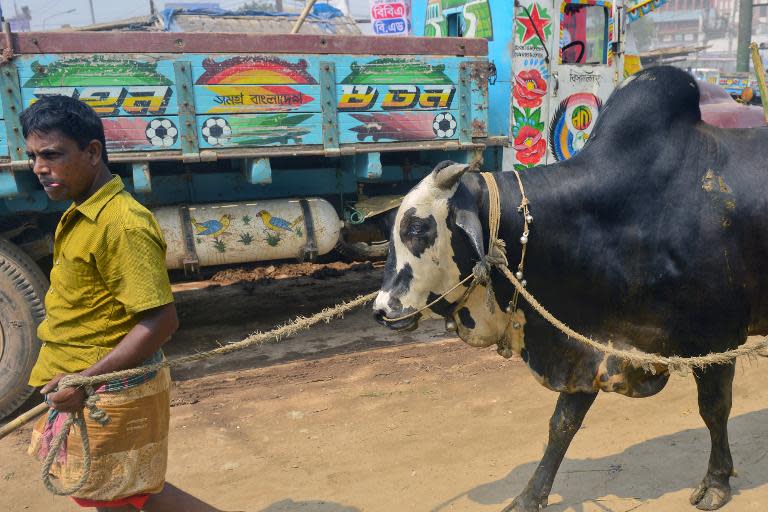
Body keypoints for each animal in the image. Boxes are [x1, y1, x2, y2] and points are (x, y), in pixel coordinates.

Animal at [372, 66, 768, 510]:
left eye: (418, 229)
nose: (382, 309)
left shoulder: (718, 336)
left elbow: (714, 409)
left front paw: (716, 481)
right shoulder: (587, 342)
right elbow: (563, 423)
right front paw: (530, 496)